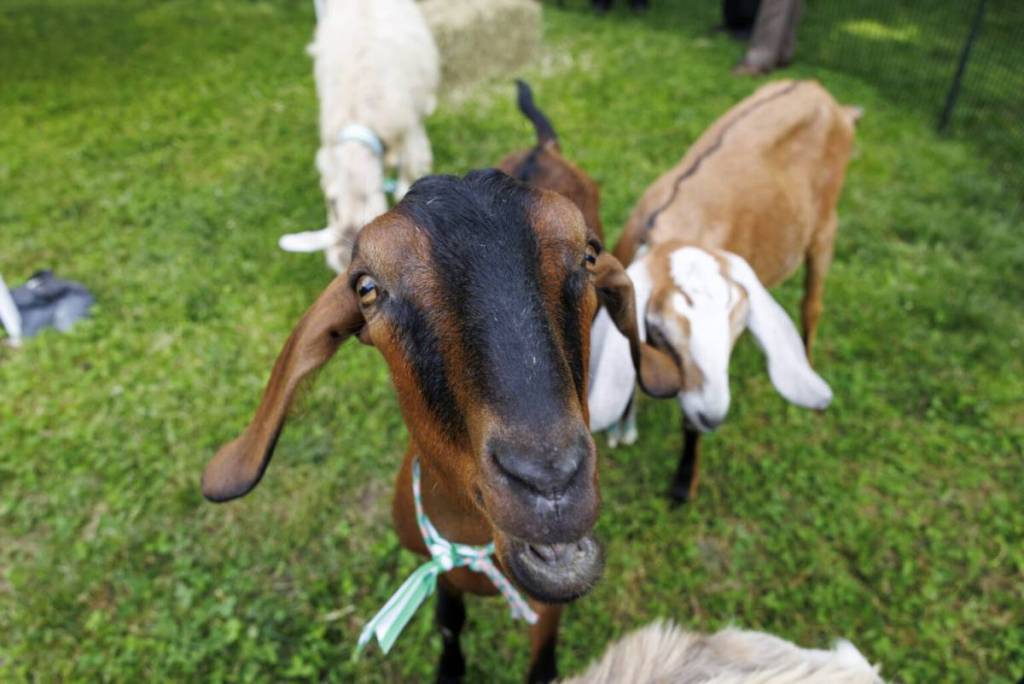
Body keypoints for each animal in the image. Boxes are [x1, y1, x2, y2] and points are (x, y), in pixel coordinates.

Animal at [589, 80, 858, 504]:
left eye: (737, 325)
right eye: (659, 328)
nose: (711, 415)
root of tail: (820, 92)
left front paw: (683, 483)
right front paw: (624, 427)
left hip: (825, 227)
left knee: (812, 304)